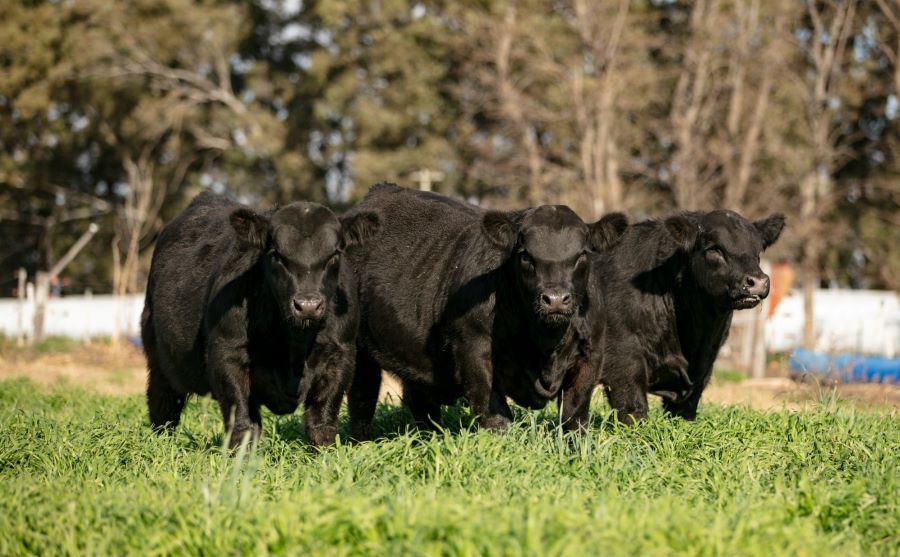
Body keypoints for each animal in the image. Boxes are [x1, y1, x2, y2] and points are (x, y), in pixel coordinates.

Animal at [141, 191, 380, 448]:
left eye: (334, 254)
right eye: (276, 255)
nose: (307, 305)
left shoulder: (341, 355)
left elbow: (322, 423)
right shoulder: (227, 354)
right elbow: (243, 423)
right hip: (158, 359)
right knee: (162, 406)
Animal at [344, 183, 627, 439]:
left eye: (582, 255)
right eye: (525, 256)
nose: (555, 299)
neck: (545, 346)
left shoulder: (591, 354)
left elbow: (574, 417)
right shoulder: (474, 350)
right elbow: (496, 419)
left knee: (421, 403)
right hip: (358, 349)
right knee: (362, 399)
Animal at [575, 210, 785, 424]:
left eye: (757, 252)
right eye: (715, 249)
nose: (757, 281)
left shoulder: (704, 365)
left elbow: (686, 410)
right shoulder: (622, 355)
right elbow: (633, 407)